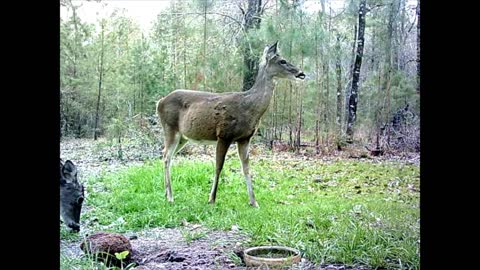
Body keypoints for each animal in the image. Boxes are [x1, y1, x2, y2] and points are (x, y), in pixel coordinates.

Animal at [159, 41, 306, 207]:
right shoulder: (224, 135)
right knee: (167, 156)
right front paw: (212, 199)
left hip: (183, 137)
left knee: (166, 154)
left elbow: (246, 168)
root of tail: (159, 102)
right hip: (170, 127)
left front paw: (254, 202)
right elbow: (219, 166)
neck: (248, 107)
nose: (301, 73)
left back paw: (166, 193)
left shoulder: (245, 138)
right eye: (282, 61)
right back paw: (170, 197)